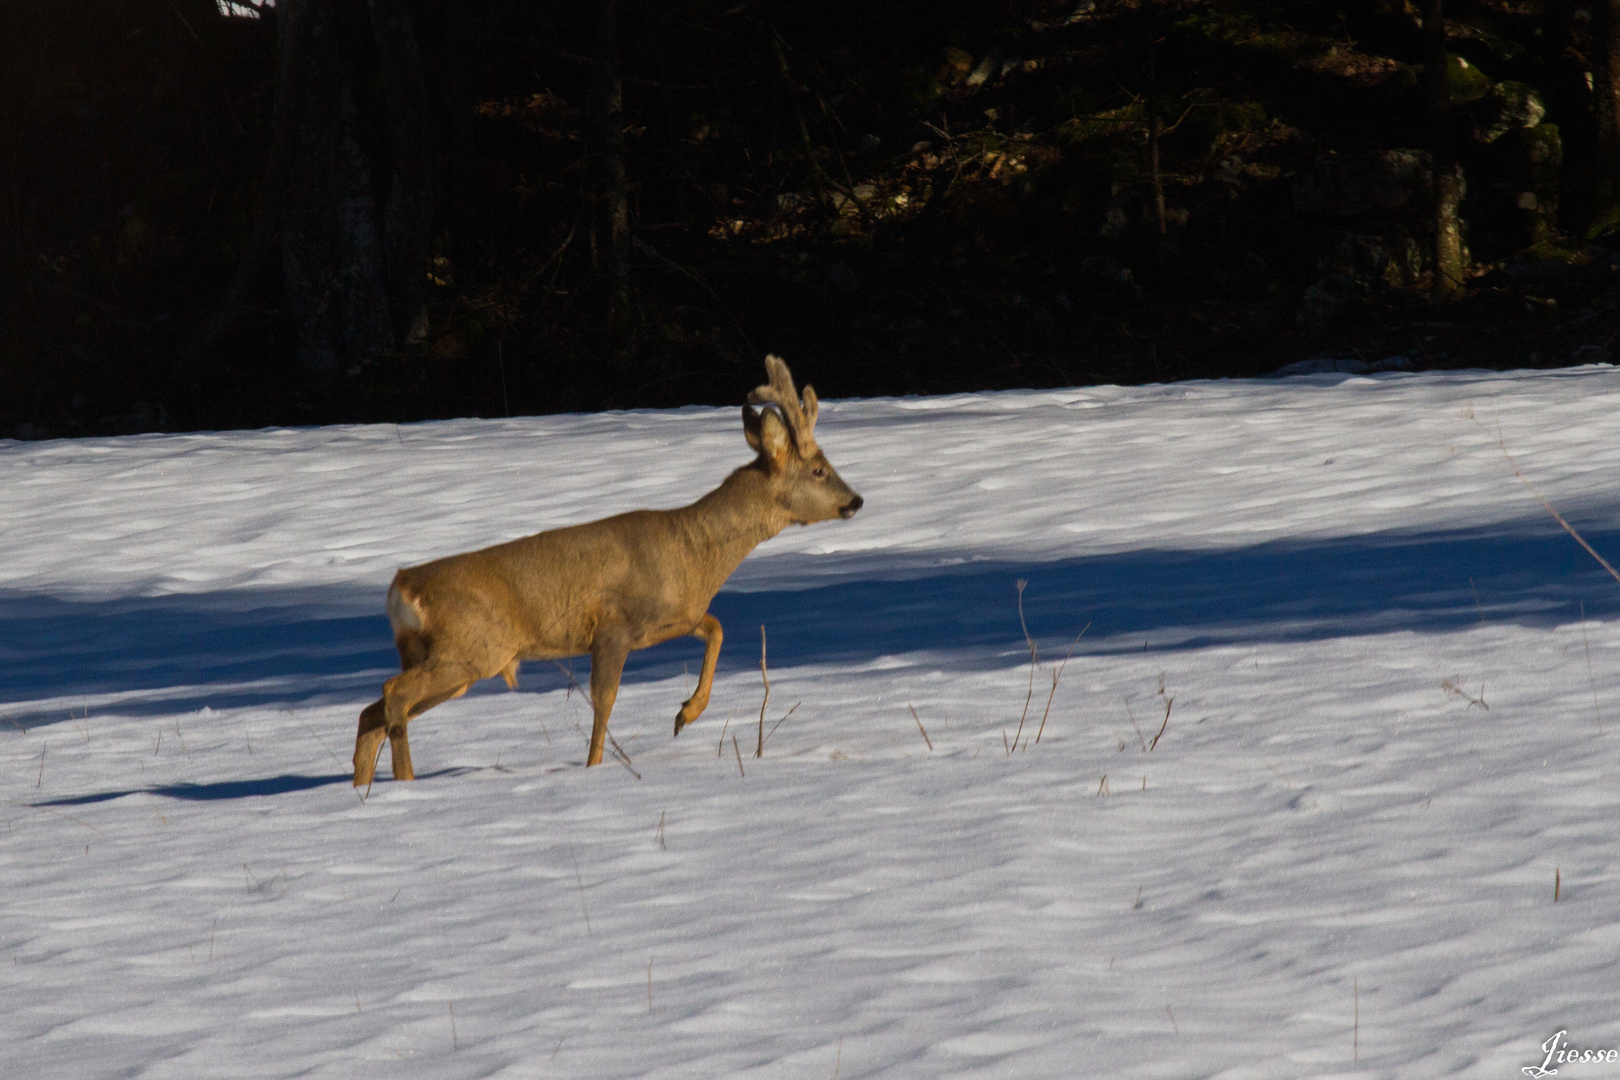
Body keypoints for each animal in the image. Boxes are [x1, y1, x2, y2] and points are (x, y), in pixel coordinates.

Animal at [349, 354, 868, 786]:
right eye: (819, 470)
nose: (856, 501)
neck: (693, 552)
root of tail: (401, 587)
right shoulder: (613, 627)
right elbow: (604, 701)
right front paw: (597, 767)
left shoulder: (667, 619)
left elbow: (716, 626)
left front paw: (685, 714)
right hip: (472, 649)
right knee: (391, 694)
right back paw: (405, 783)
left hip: (447, 661)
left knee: (372, 711)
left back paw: (363, 791)